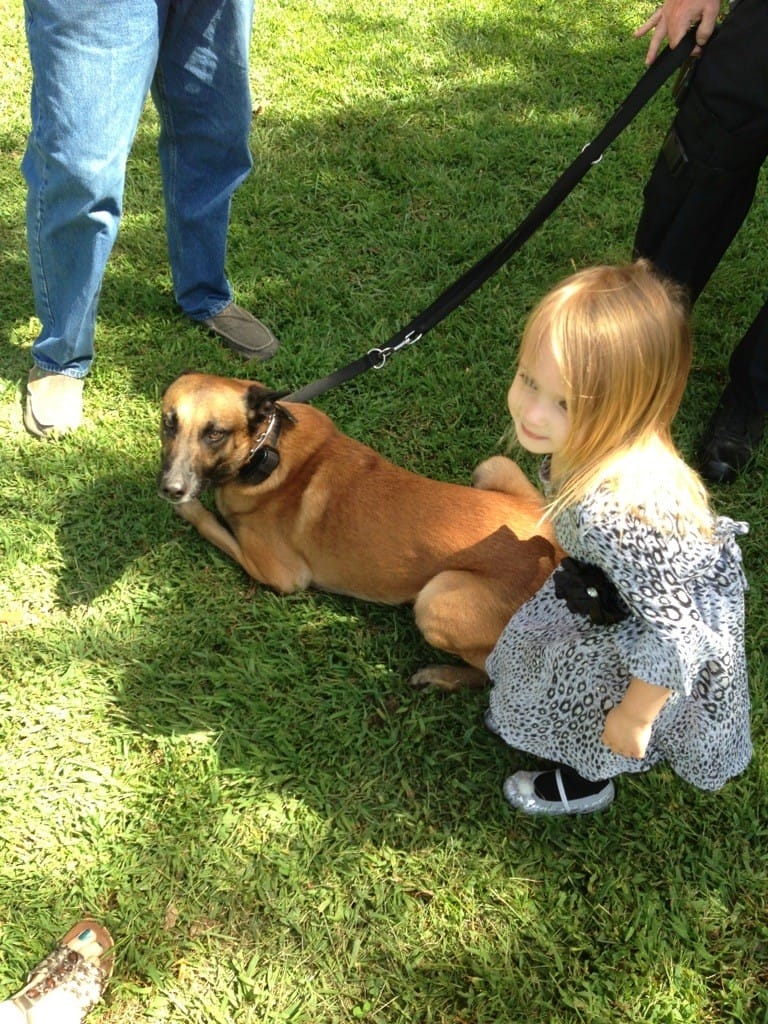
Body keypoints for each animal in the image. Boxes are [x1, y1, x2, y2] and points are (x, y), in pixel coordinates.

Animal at [158, 372, 561, 690]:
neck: (266, 448)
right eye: (169, 423)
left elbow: (211, 525)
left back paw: (443, 676)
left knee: (494, 673)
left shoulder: (280, 575)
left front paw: (189, 508)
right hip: (496, 467)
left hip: (436, 597)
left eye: (216, 433)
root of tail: (559, 555)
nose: (170, 488)